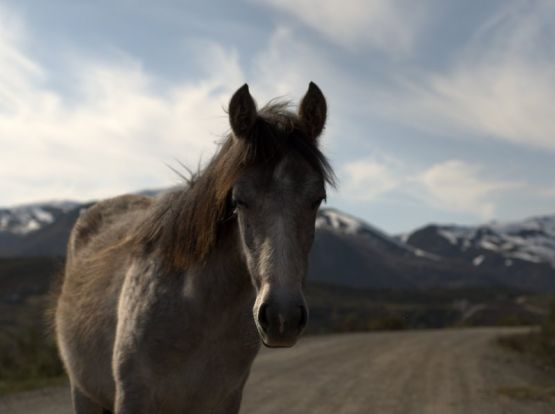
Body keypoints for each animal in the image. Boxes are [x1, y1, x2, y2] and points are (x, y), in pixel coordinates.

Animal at [53, 82, 334, 412]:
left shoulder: (226, 400)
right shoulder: (132, 398)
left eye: (317, 199)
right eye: (239, 200)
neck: (197, 312)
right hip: (83, 393)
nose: (282, 317)